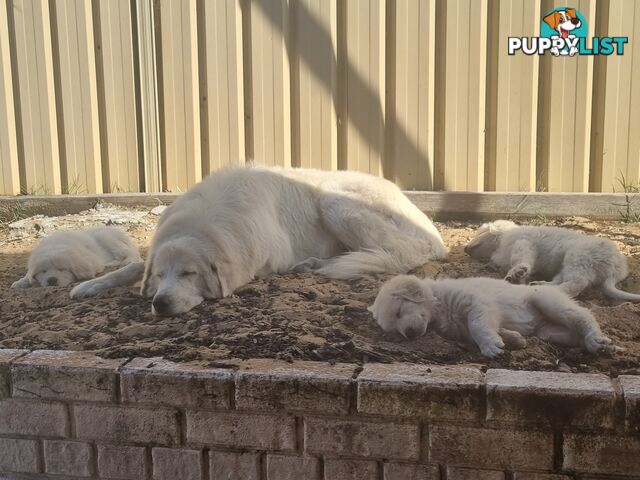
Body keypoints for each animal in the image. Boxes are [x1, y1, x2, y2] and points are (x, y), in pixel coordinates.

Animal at [10, 226, 141, 286]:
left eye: (62, 269)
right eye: (44, 271)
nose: (52, 280)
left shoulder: (93, 261)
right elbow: (28, 274)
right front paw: (20, 282)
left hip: (107, 238)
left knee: (131, 253)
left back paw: (127, 261)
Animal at [70, 163, 448, 316]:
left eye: (190, 274)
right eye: (161, 276)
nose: (160, 303)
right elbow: (135, 265)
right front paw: (90, 285)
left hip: (335, 204)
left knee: (395, 250)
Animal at [368, 274, 616, 356]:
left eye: (400, 311)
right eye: (395, 332)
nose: (409, 334)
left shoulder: (476, 304)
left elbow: (479, 326)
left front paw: (490, 346)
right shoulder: (463, 328)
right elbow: (489, 329)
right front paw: (513, 339)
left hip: (547, 300)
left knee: (582, 315)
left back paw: (595, 339)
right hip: (548, 331)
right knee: (571, 333)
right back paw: (598, 344)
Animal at [464, 220, 640, 300]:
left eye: (478, 233)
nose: (465, 249)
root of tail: (616, 270)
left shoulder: (524, 244)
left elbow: (521, 260)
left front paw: (517, 273)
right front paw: (519, 277)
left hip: (579, 258)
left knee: (575, 284)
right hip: (566, 266)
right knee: (560, 280)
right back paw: (539, 285)